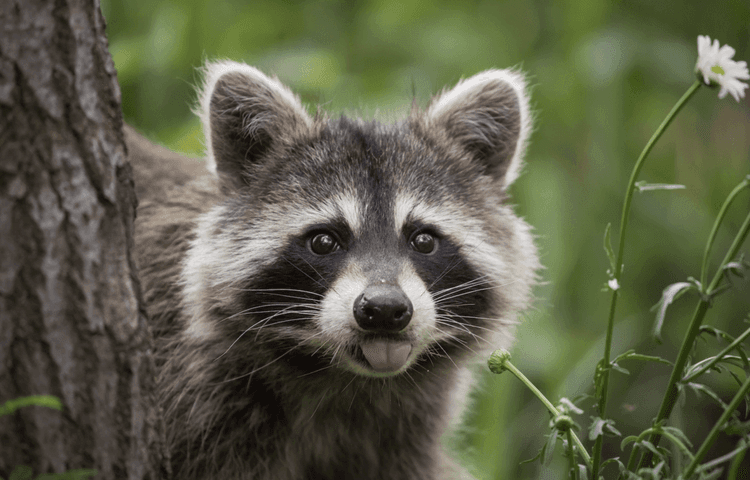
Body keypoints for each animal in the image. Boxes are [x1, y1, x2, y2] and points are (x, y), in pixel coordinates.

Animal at [129, 61, 539, 480]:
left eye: (423, 240)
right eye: (324, 241)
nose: (384, 309)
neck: (344, 380)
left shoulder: (403, 438)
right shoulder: (201, 405)